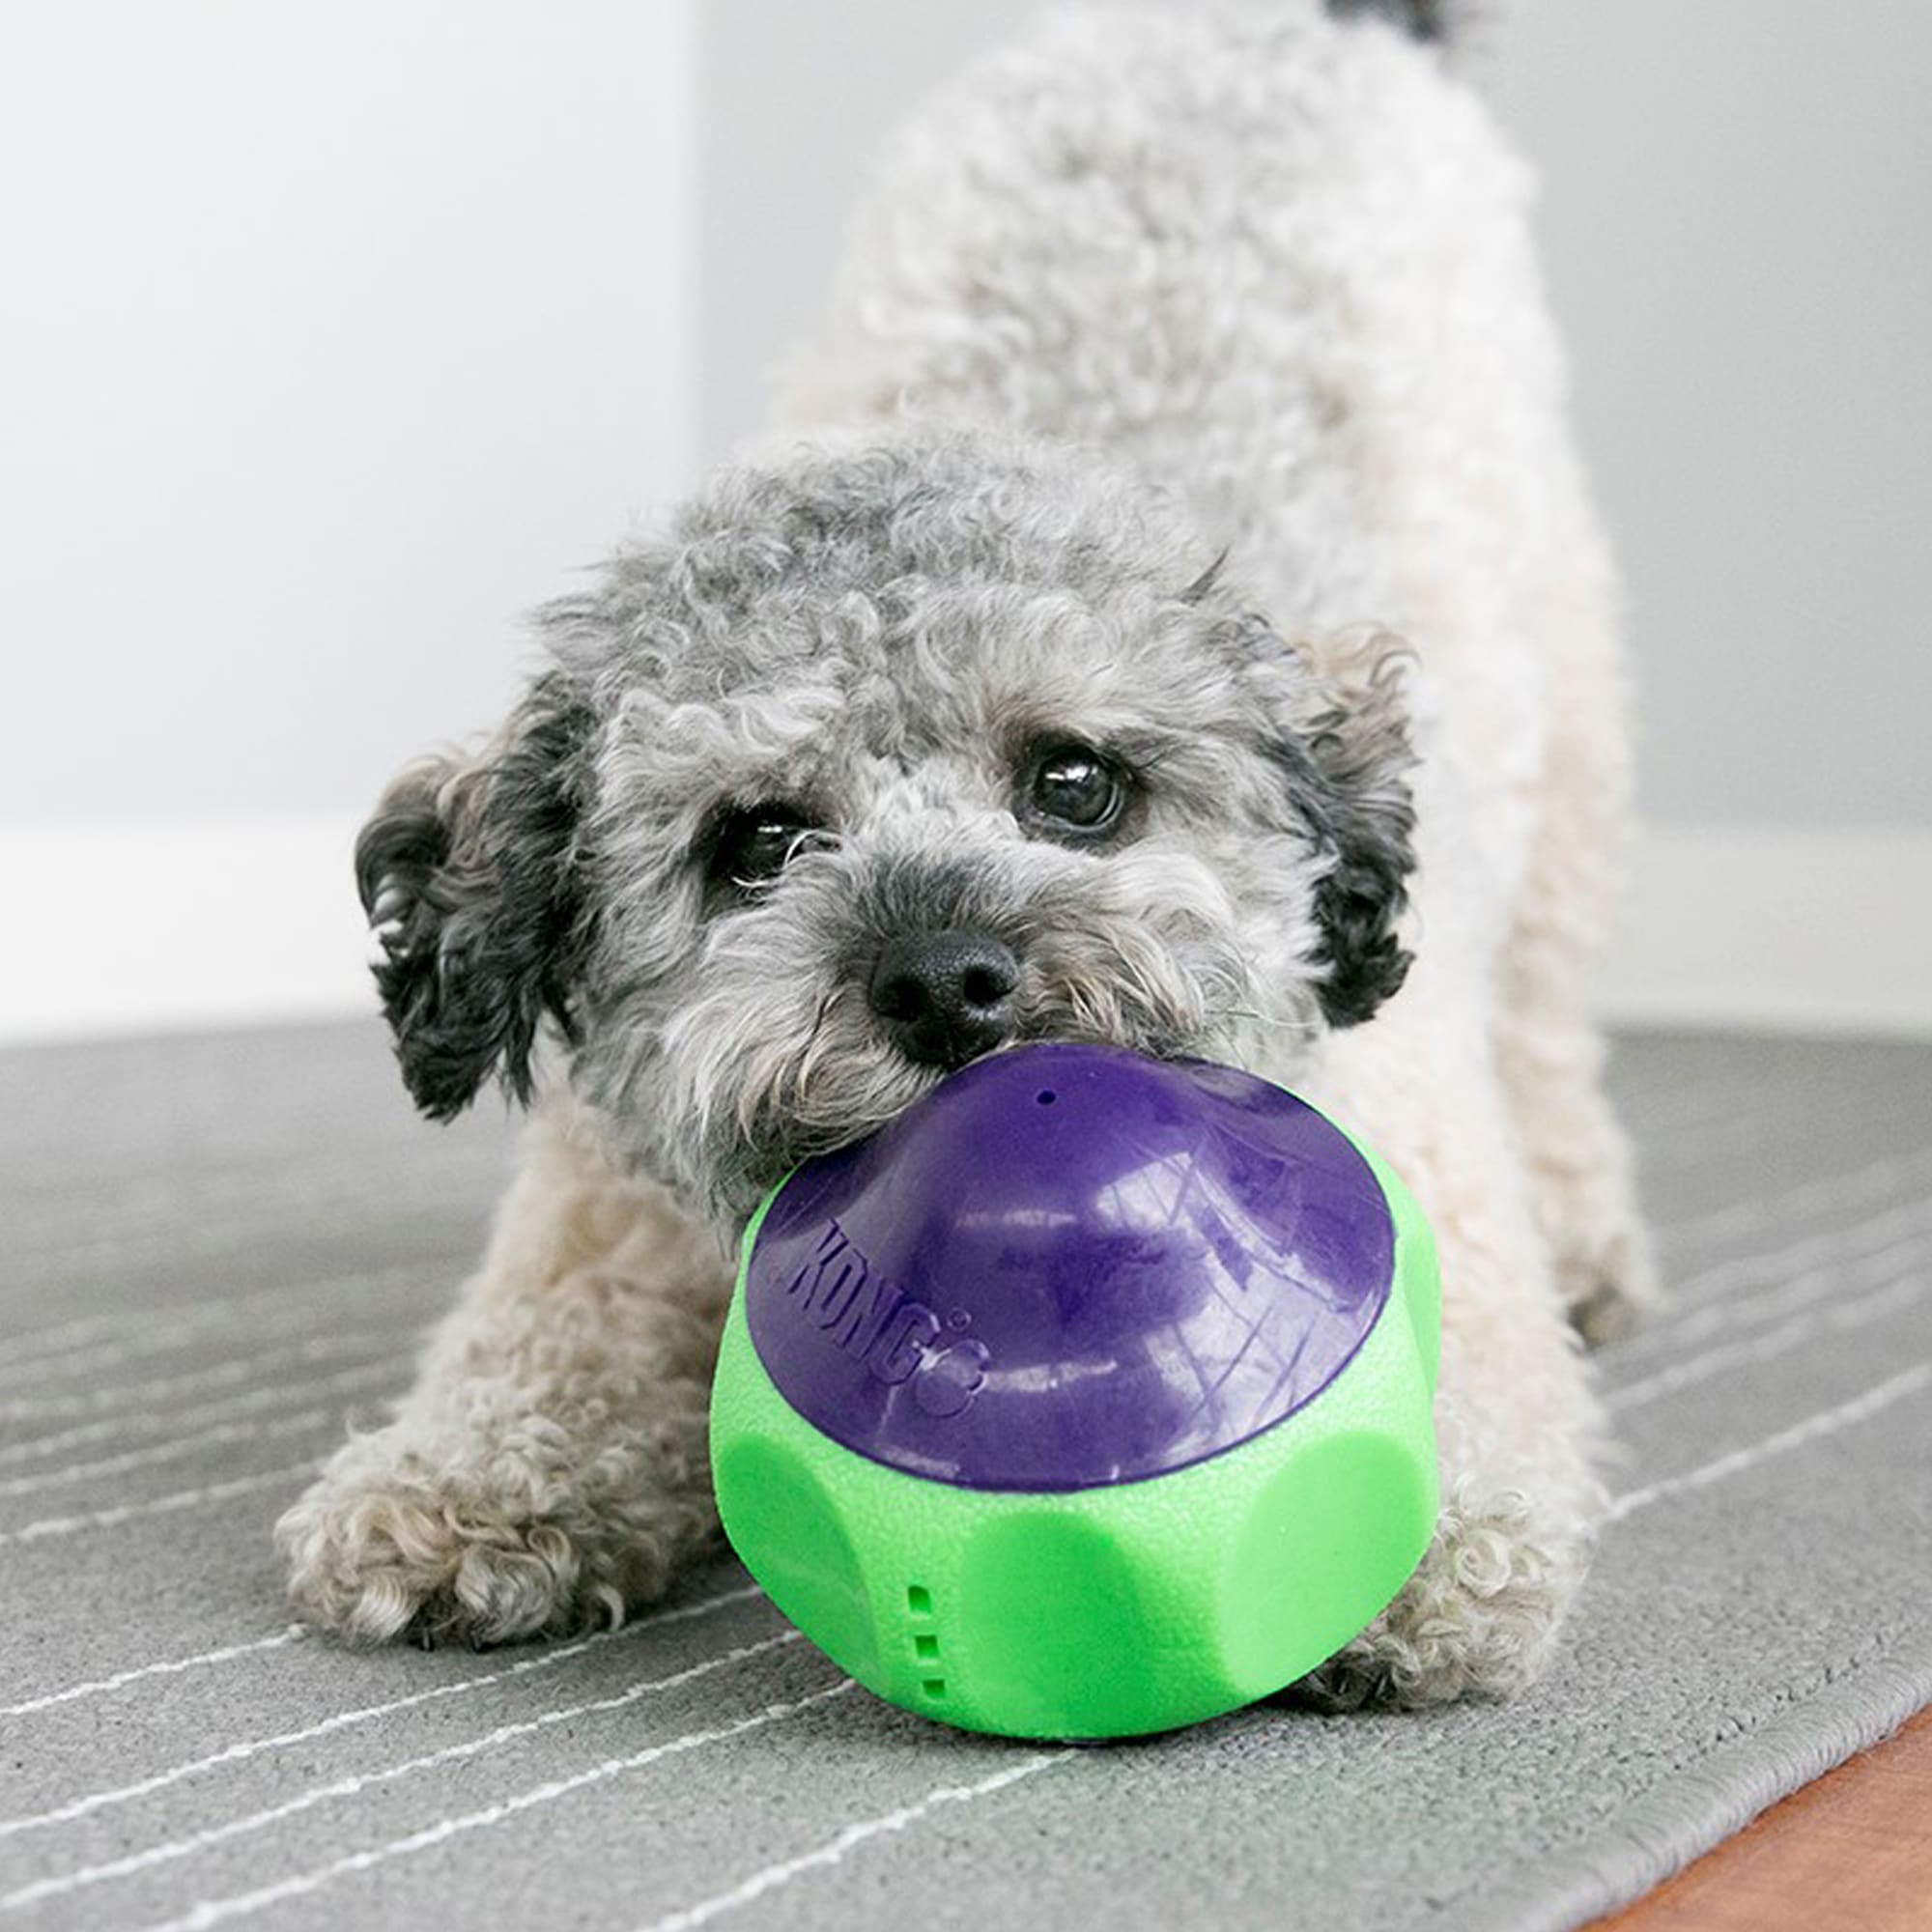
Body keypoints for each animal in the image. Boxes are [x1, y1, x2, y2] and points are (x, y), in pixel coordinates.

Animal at [280, 0, 1654, 1708]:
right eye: (757, 841)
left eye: (1075, 783)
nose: (943, 981)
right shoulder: (601, 1209)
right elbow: (548, 1338)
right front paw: (470, 1479)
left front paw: (1409, 1554)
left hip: (1569, 709)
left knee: (1547, 1021)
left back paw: (1588, 1229)